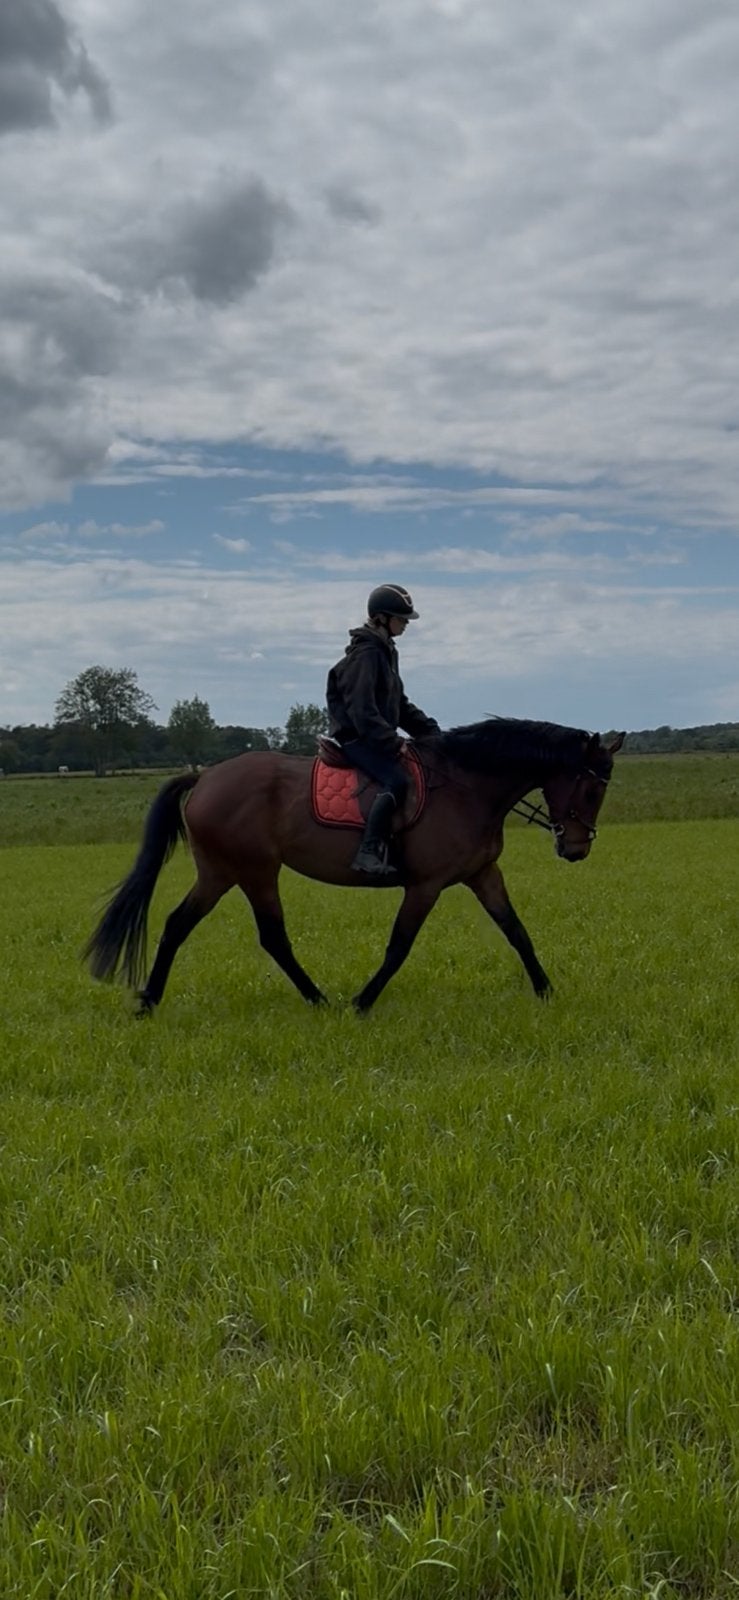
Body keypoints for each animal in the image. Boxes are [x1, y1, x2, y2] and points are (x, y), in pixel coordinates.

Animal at [85, 718, 624, 1015]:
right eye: (591, 788)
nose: (576, 849)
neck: (468, 787)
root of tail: (206, 777)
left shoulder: (482, 875)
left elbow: (517, 932)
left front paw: (546, 991)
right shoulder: (426, 886)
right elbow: (399, 947)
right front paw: (363, 1003)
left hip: (220, 873)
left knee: (179, 924)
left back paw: (149, 1001)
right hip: (251, 871)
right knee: (270, 936)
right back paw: (319, 1000)